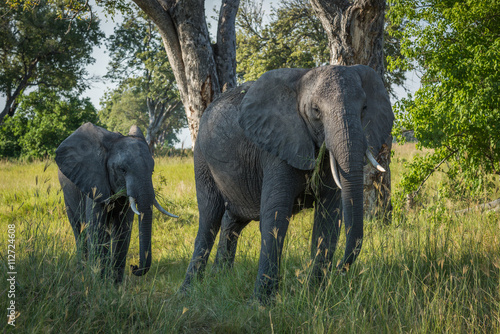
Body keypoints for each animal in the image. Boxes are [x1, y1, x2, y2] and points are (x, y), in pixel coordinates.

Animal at [56, 122, 178, 282]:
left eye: (152, 171)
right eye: (122, 170)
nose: (134, 267)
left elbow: (123, 229)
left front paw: (114, 283)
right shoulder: (94, 182)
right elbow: (96, 227)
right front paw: (99, 281)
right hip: (67, 192)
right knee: (79, 228)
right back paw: (82, 271)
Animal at [181, 64, 394, 302]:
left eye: (364, 107)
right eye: (316, 111)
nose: (341, 269)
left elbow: (328, 217)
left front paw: (315, 294)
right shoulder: (275, 147)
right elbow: (275, 216)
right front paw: (261, 303)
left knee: (232, 220)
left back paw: (220, 278)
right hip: (201, 158)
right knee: (209, 218)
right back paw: (188, 291)